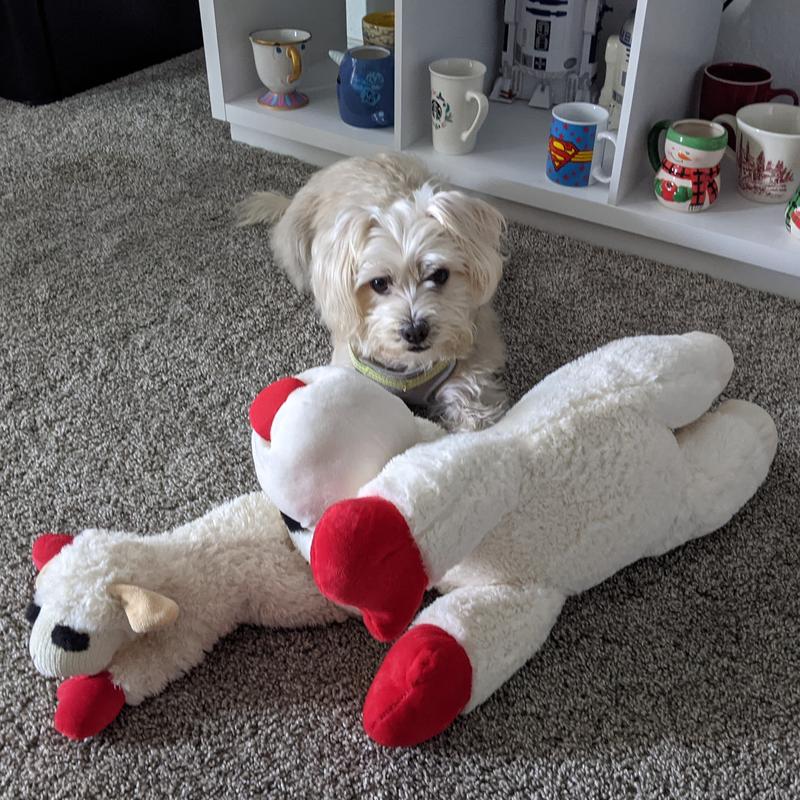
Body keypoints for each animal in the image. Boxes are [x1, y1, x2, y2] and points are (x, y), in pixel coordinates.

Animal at [236, 155, 506, 432]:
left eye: (440, 275)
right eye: (379, 283)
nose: (415, 331)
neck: (409, 368)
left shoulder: (471, 370)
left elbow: (472, 414)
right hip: (296, 249)